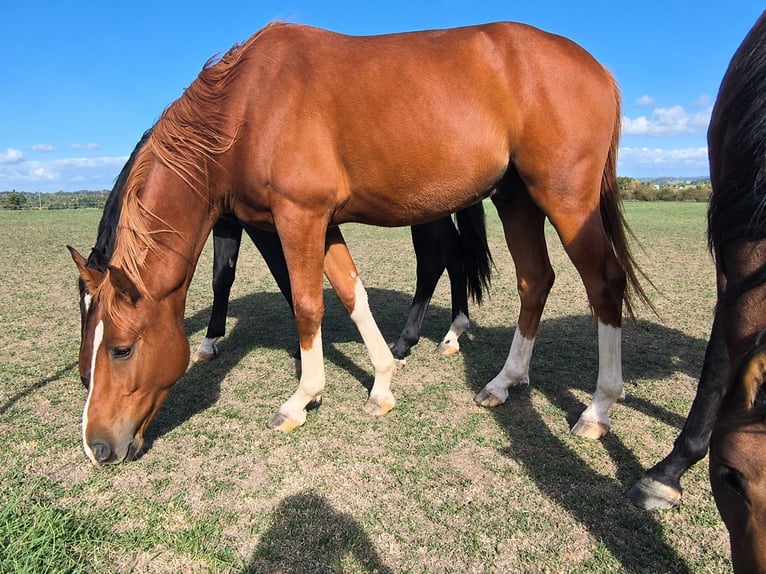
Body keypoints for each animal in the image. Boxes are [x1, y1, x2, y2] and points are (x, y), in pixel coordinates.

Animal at [68, 21, 651, 466]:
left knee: (603, 284)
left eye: (121, 349)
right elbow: (351, 294)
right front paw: (383, 382)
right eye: (85, 356)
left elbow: (307, 304)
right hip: (516, 199)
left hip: (565, 198)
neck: (245, 107)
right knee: (534, 281)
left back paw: (597, 409)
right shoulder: (321, 223)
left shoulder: (296, 217)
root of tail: (596, 68)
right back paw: (505, 381)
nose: (97, 447)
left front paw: (301, 398)